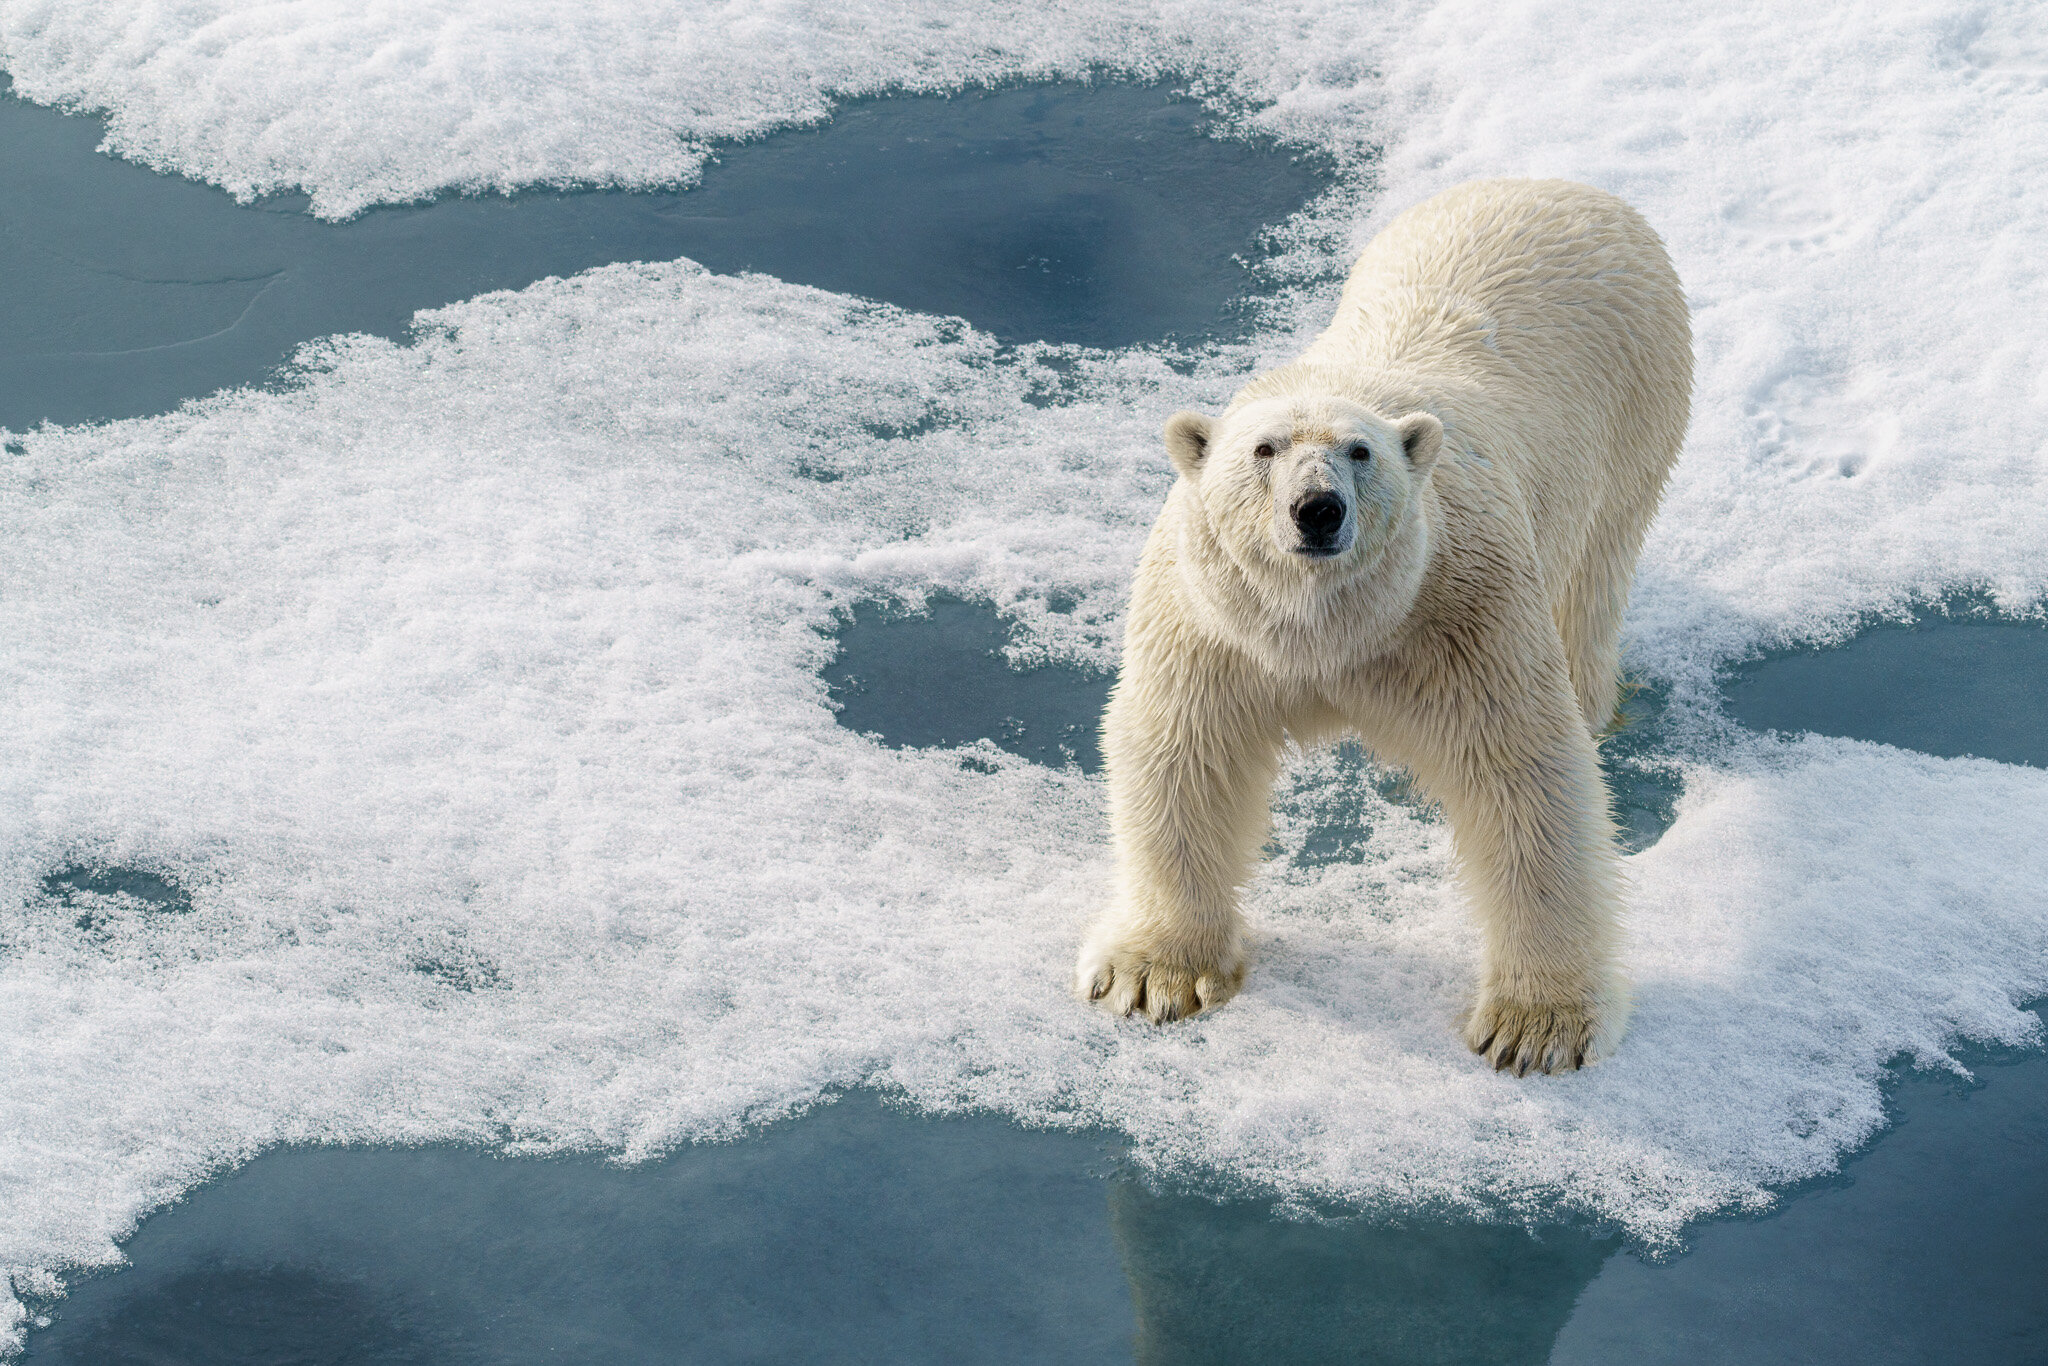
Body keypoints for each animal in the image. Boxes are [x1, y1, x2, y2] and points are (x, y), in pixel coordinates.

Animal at [1076, 178, 1691, 1075]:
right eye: (1263, 450)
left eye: (1360, 453)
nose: (1317, 509)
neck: (1330, 630)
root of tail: (1563, 186)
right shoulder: (1213, 628)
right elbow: (1184, 753)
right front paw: (1155, 973)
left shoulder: (1460, 614)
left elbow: (1526, 775)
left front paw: (1537, 1025)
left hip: (1634, 426)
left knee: (1589, 596)